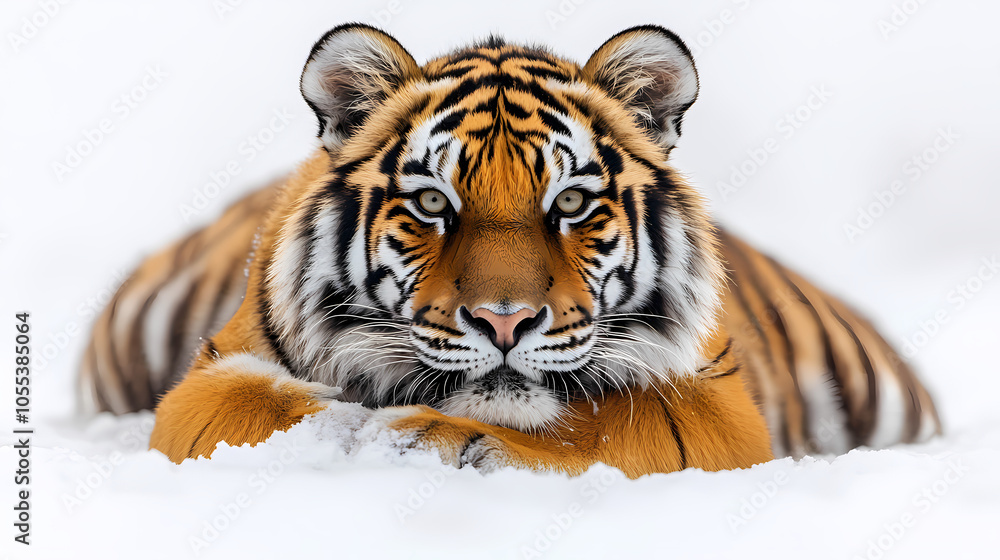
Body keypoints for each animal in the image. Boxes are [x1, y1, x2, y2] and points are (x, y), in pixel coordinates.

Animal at [78, 23, 941, 478]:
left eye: (571, 204)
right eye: (433, 203)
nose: (504, 322)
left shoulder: (714, 401)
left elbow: (603, 426)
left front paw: (436, 435)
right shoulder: (209, 373)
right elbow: (253, 400)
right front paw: (353, 426)